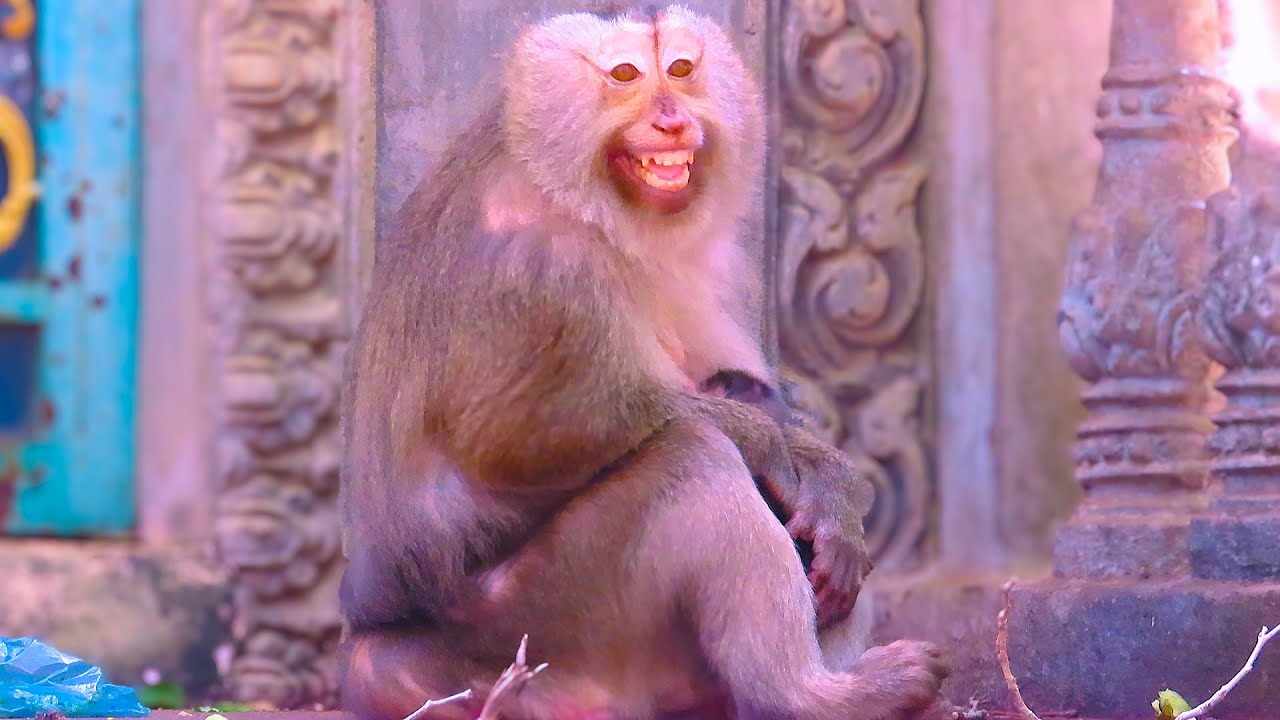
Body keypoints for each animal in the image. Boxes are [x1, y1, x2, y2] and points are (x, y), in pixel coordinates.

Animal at [337, 5, 948, 719]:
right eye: (625, 74)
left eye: (680, 68)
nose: (672, 119)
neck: (584, 199)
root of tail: (386, 650)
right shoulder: (537, 267)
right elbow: (512, 438)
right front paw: (767, 442)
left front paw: (831, 485)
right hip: (544, 625)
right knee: (692, 460)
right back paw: (810, 696)